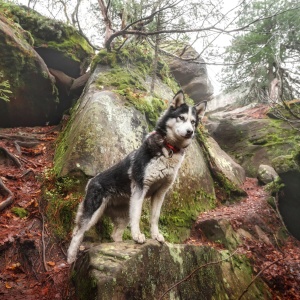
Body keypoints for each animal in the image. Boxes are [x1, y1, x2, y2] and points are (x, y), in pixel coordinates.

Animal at [67, 91, 206, 262]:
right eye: (181, 117)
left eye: (193, 122)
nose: (190, 132)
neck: (168, 149)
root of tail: (91, 181)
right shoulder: (140, 188)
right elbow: (138, 217)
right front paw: (138, 236)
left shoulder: (160, 193)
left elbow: (155, 217)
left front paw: (156, 235)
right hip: (93, 213)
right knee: (78, 233)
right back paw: (70, 258)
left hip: (124, 213)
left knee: (115, 234)